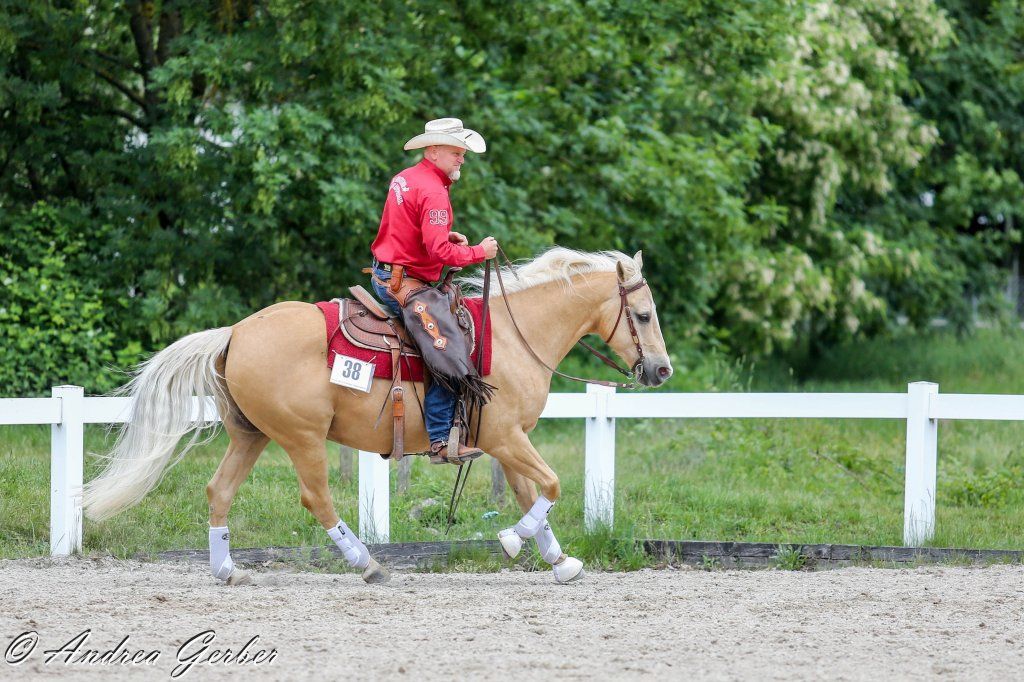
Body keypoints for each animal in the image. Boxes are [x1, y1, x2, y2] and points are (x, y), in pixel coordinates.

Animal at [83, 247, 673, 584]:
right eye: (643, 315)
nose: (662, 370)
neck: (513, 335)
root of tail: (235, 332)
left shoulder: (510, 442)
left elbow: (535, 495)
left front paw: (559, 562)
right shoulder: (506, 437)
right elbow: (549, 486)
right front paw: (512, 541)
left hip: (251, 436)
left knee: (218, 490)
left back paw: (227, 570)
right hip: (301, 437)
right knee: (316, 498)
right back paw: (366, 563)